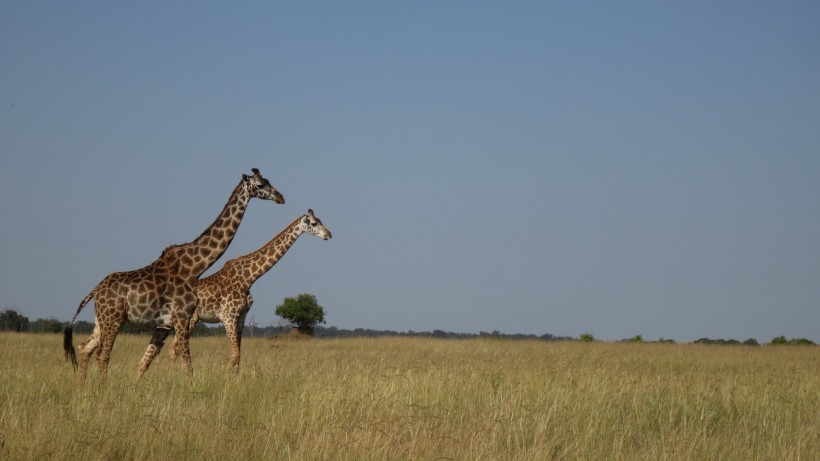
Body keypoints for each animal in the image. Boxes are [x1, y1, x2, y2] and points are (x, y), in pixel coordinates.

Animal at [62, 167, 286, 380]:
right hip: (113, 319)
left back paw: (82, 389)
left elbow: (148, 360)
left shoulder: (167, 324)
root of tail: (94, 291)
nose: (281, 197)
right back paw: (101, 389)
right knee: (103, 355)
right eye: (260, 184)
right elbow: (187, 365)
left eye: (268, 180)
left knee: (84, 348)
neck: (194, 267)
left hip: (101, 321)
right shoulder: (182, 317)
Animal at [174, 210, 334, 368]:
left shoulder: (241, 317)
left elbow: (238, 356)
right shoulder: (228, 317)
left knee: (174, 349)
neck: (249, 278)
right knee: (177, 348)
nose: (329, 234)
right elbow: (235, 355)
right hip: (190, 319)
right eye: (314, 223)